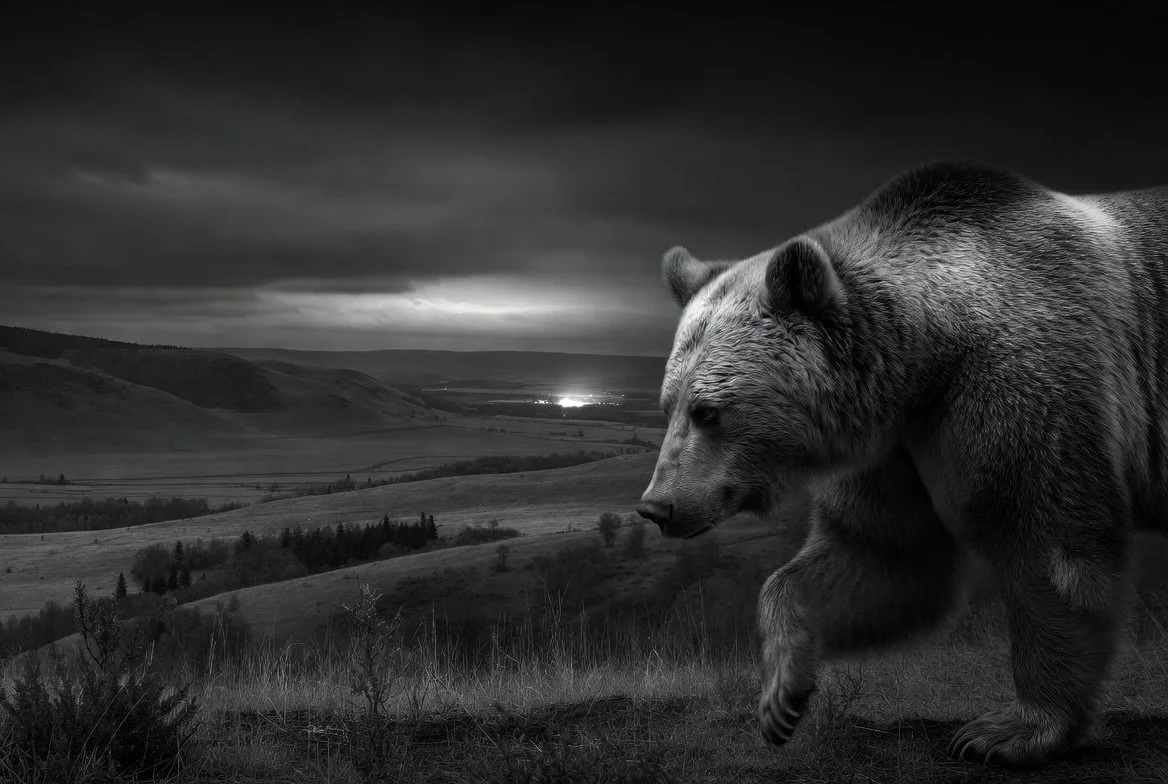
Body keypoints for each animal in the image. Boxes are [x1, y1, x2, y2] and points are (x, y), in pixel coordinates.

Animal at [636, 160, 1168, 766]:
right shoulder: (898, 442)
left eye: (708, 411)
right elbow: (883, 554)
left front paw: (1006, 731)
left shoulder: (1026, 380)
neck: (929, 352)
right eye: (668, 406)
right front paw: (780, 700)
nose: (657, 506)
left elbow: (1051, 546)